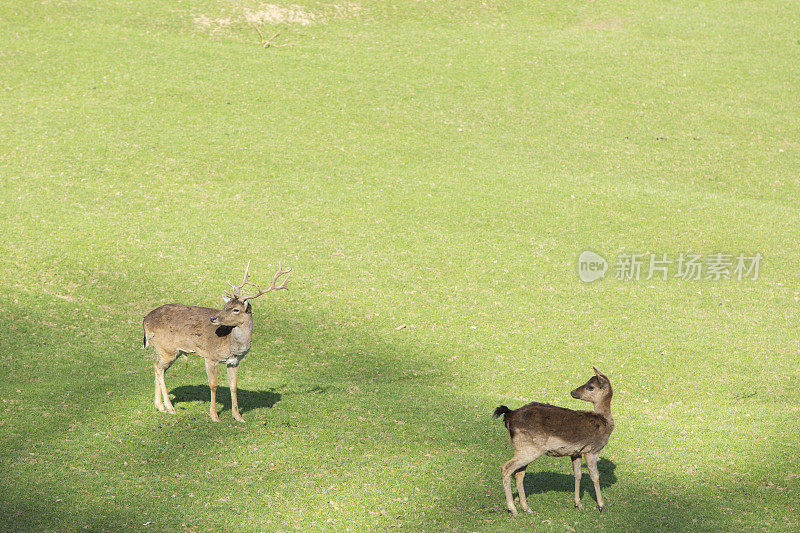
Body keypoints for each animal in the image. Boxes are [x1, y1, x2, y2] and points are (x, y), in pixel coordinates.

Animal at [141, 260, 290, 420]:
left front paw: (238, 416)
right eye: (225, 305)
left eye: (235, 309)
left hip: (171, 351)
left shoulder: (234, 361)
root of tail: (145, 320)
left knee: (158, 368)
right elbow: (213, 385)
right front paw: (214, 415)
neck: (232, 345)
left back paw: (160, 406)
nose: (213, 318)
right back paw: (169, 407)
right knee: (158, 368)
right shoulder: (210, 357)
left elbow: (233, 386)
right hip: (166, 348)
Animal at [490, 368, 616, 512]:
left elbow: (577, 474)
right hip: (530, 448)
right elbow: (595, 476)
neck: (605, 422)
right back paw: (512, 509)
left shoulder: (576, 452)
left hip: (525, 448)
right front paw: (602, 506)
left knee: (518, 473)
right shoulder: (592, 450)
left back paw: (526, 507)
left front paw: (578, 503)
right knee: (506, 468)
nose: (573, 392)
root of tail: (509, 415)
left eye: (590, 386)